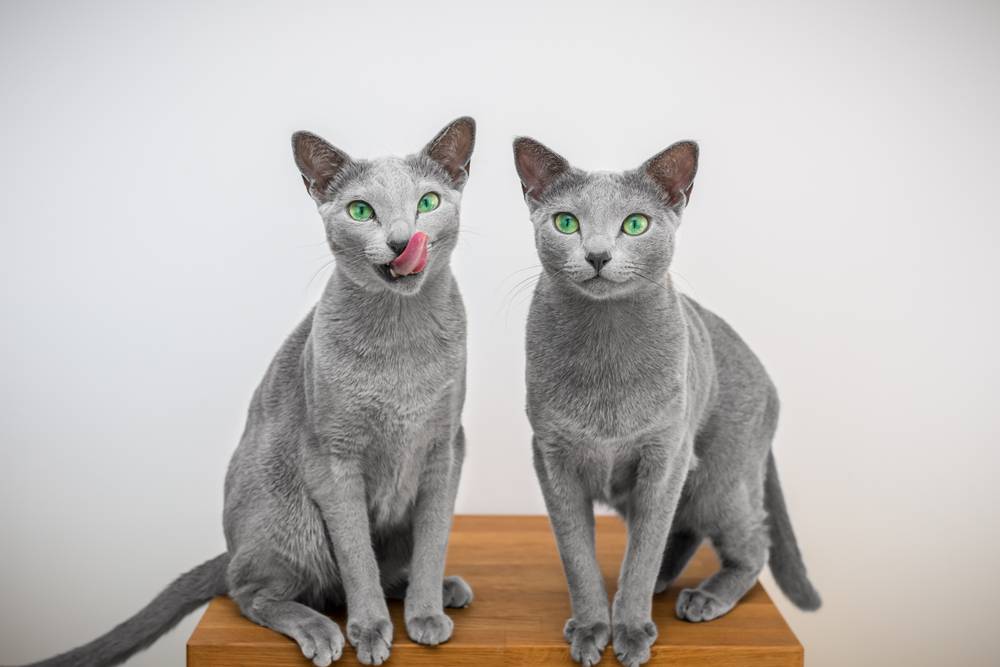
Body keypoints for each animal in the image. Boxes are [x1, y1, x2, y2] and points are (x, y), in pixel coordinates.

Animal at [14, 117, 476, 664]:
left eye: (428, 201)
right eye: (361, 211)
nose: (403, 241)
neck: (401, 336)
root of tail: (231, 547)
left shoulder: (444, 447)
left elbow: (433, 541)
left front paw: (425, 614)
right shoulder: (333, 457)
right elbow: (356, 558)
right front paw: (369, 631)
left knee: (380, 569)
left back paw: (437, 591)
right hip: (291, 512)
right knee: (253, 591)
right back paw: (323, 629)